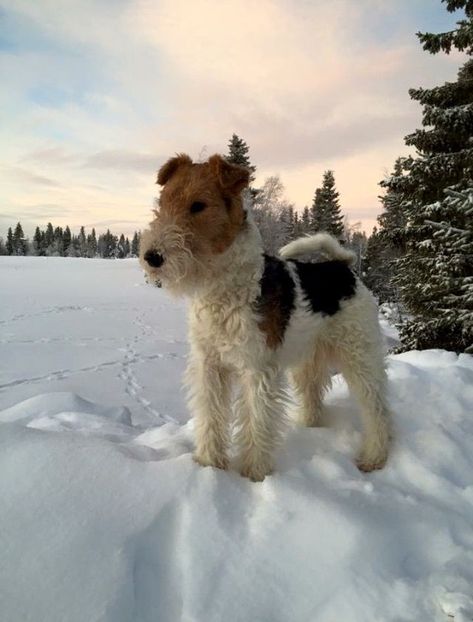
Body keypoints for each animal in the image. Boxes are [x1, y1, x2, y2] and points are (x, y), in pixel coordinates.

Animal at [140, 154, 390, 486]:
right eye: (164, 200)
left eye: (198, 205)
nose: (152, 257)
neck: (222, 289)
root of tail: (343, 268)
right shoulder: (210, 365)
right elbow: (210, 416)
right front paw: (208, 465)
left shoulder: (257, 369)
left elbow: (256, 423)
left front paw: (254, 474)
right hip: (307, 360)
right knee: (313, 398)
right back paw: (308, 426)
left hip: (360, 355)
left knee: (377, 408)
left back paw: (375, 457)